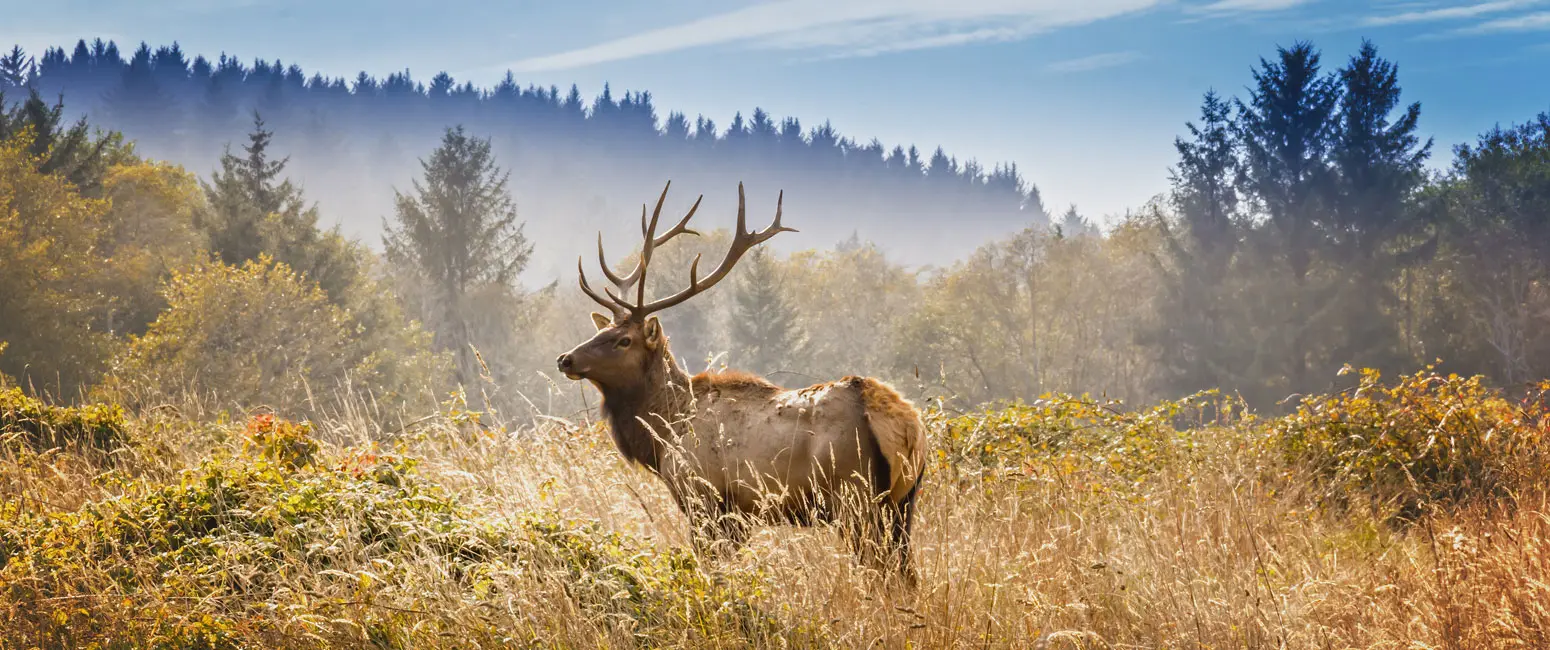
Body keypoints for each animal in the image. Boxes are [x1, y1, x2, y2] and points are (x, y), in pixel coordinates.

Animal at [555, 181, 929, 587]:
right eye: (602, 330)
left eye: (623, 340)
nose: (566, 359)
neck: (665, 430)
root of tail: (906, 425)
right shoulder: (739, 513)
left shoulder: (703, 495)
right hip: (903, 503)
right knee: (908, 574)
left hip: (855, 497)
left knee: (880, 570)